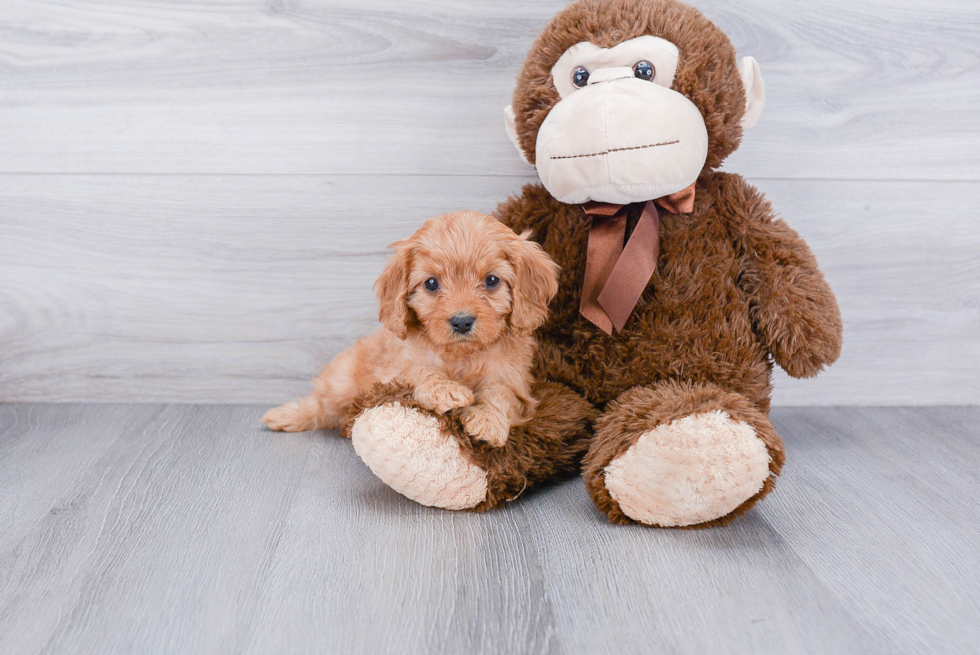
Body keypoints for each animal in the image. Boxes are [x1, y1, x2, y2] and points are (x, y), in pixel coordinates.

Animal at [262, 210, 560, 446]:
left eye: (491, 281)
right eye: (431, 284)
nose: (462, 321)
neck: (460, 356)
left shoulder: (517, 384)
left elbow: (501, 393)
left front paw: (487, 420)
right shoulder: (392, 373)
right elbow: (419, 370)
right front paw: (445, 390)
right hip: (341, 384)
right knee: (320, 405)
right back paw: (284, 416)